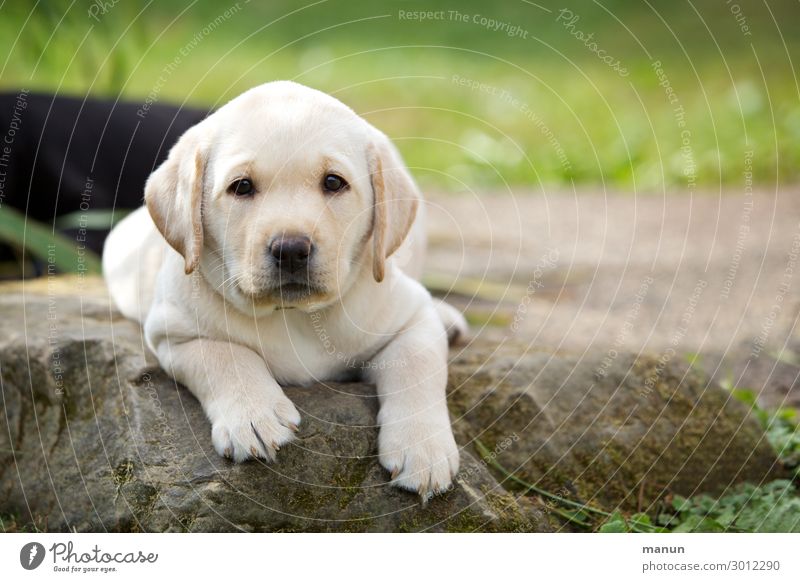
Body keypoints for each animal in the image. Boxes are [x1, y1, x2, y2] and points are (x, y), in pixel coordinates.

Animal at [106, 81, 468, 502]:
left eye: (333, 182)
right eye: (242, 187)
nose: (291, 250)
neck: (297, 316)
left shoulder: (411, 317)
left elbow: (416, 364)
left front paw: (423, 448)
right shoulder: (175, 332)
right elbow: (225, 355)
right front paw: (253, 415)